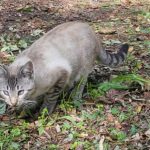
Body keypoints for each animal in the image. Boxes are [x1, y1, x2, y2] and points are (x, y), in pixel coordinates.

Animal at [0, 21, 129, 115]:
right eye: (5, 92)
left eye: (20, 91)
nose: (13, 103)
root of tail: (92, 32)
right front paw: (27, 108)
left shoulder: (62, 72)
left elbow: (51, 97)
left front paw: (44, 111)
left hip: (83, 69)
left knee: (80, 83)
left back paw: (74, 96)